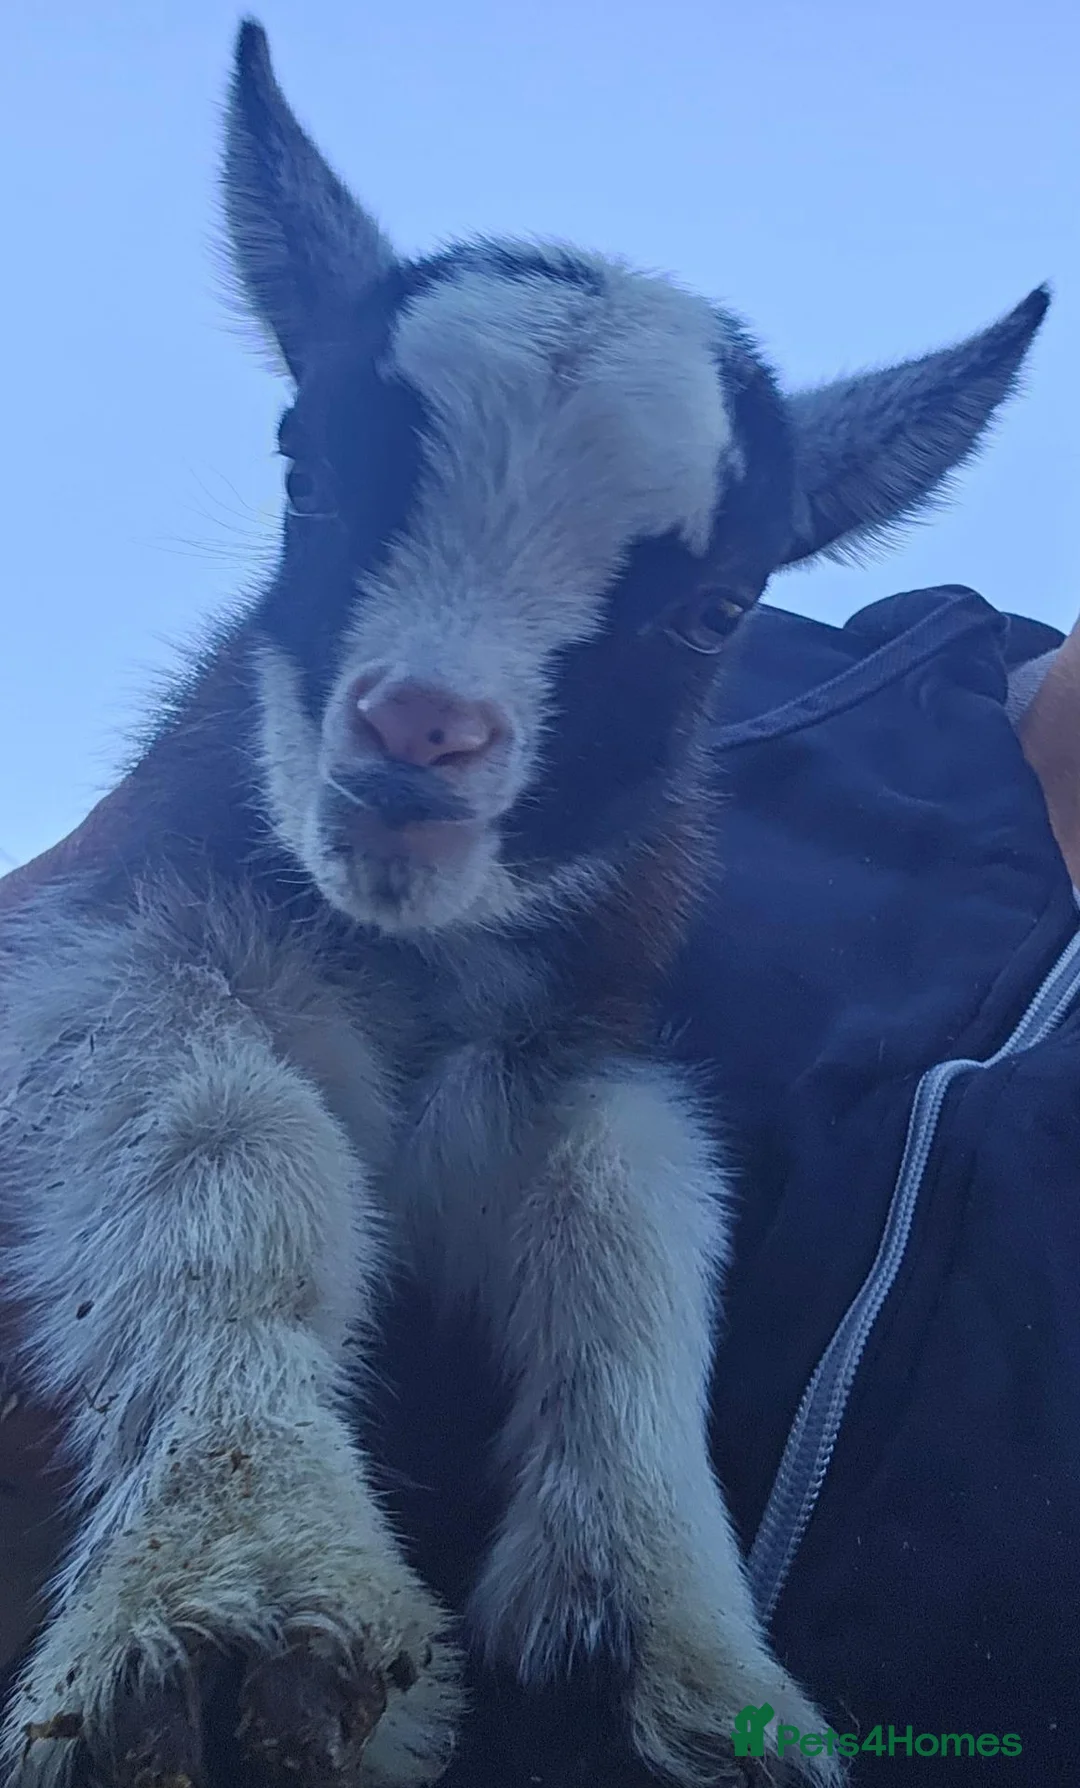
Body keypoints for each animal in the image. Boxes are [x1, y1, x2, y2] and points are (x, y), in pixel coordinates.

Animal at [0, 19, 1048, 1788]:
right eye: (305, 464)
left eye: (717, 607)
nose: (420, 733)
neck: (405, 965)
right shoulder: (99, 930)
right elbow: (225, 1141)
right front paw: (235, 1596)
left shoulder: (580, 1035)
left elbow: (624, 1213)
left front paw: (669, 1649)